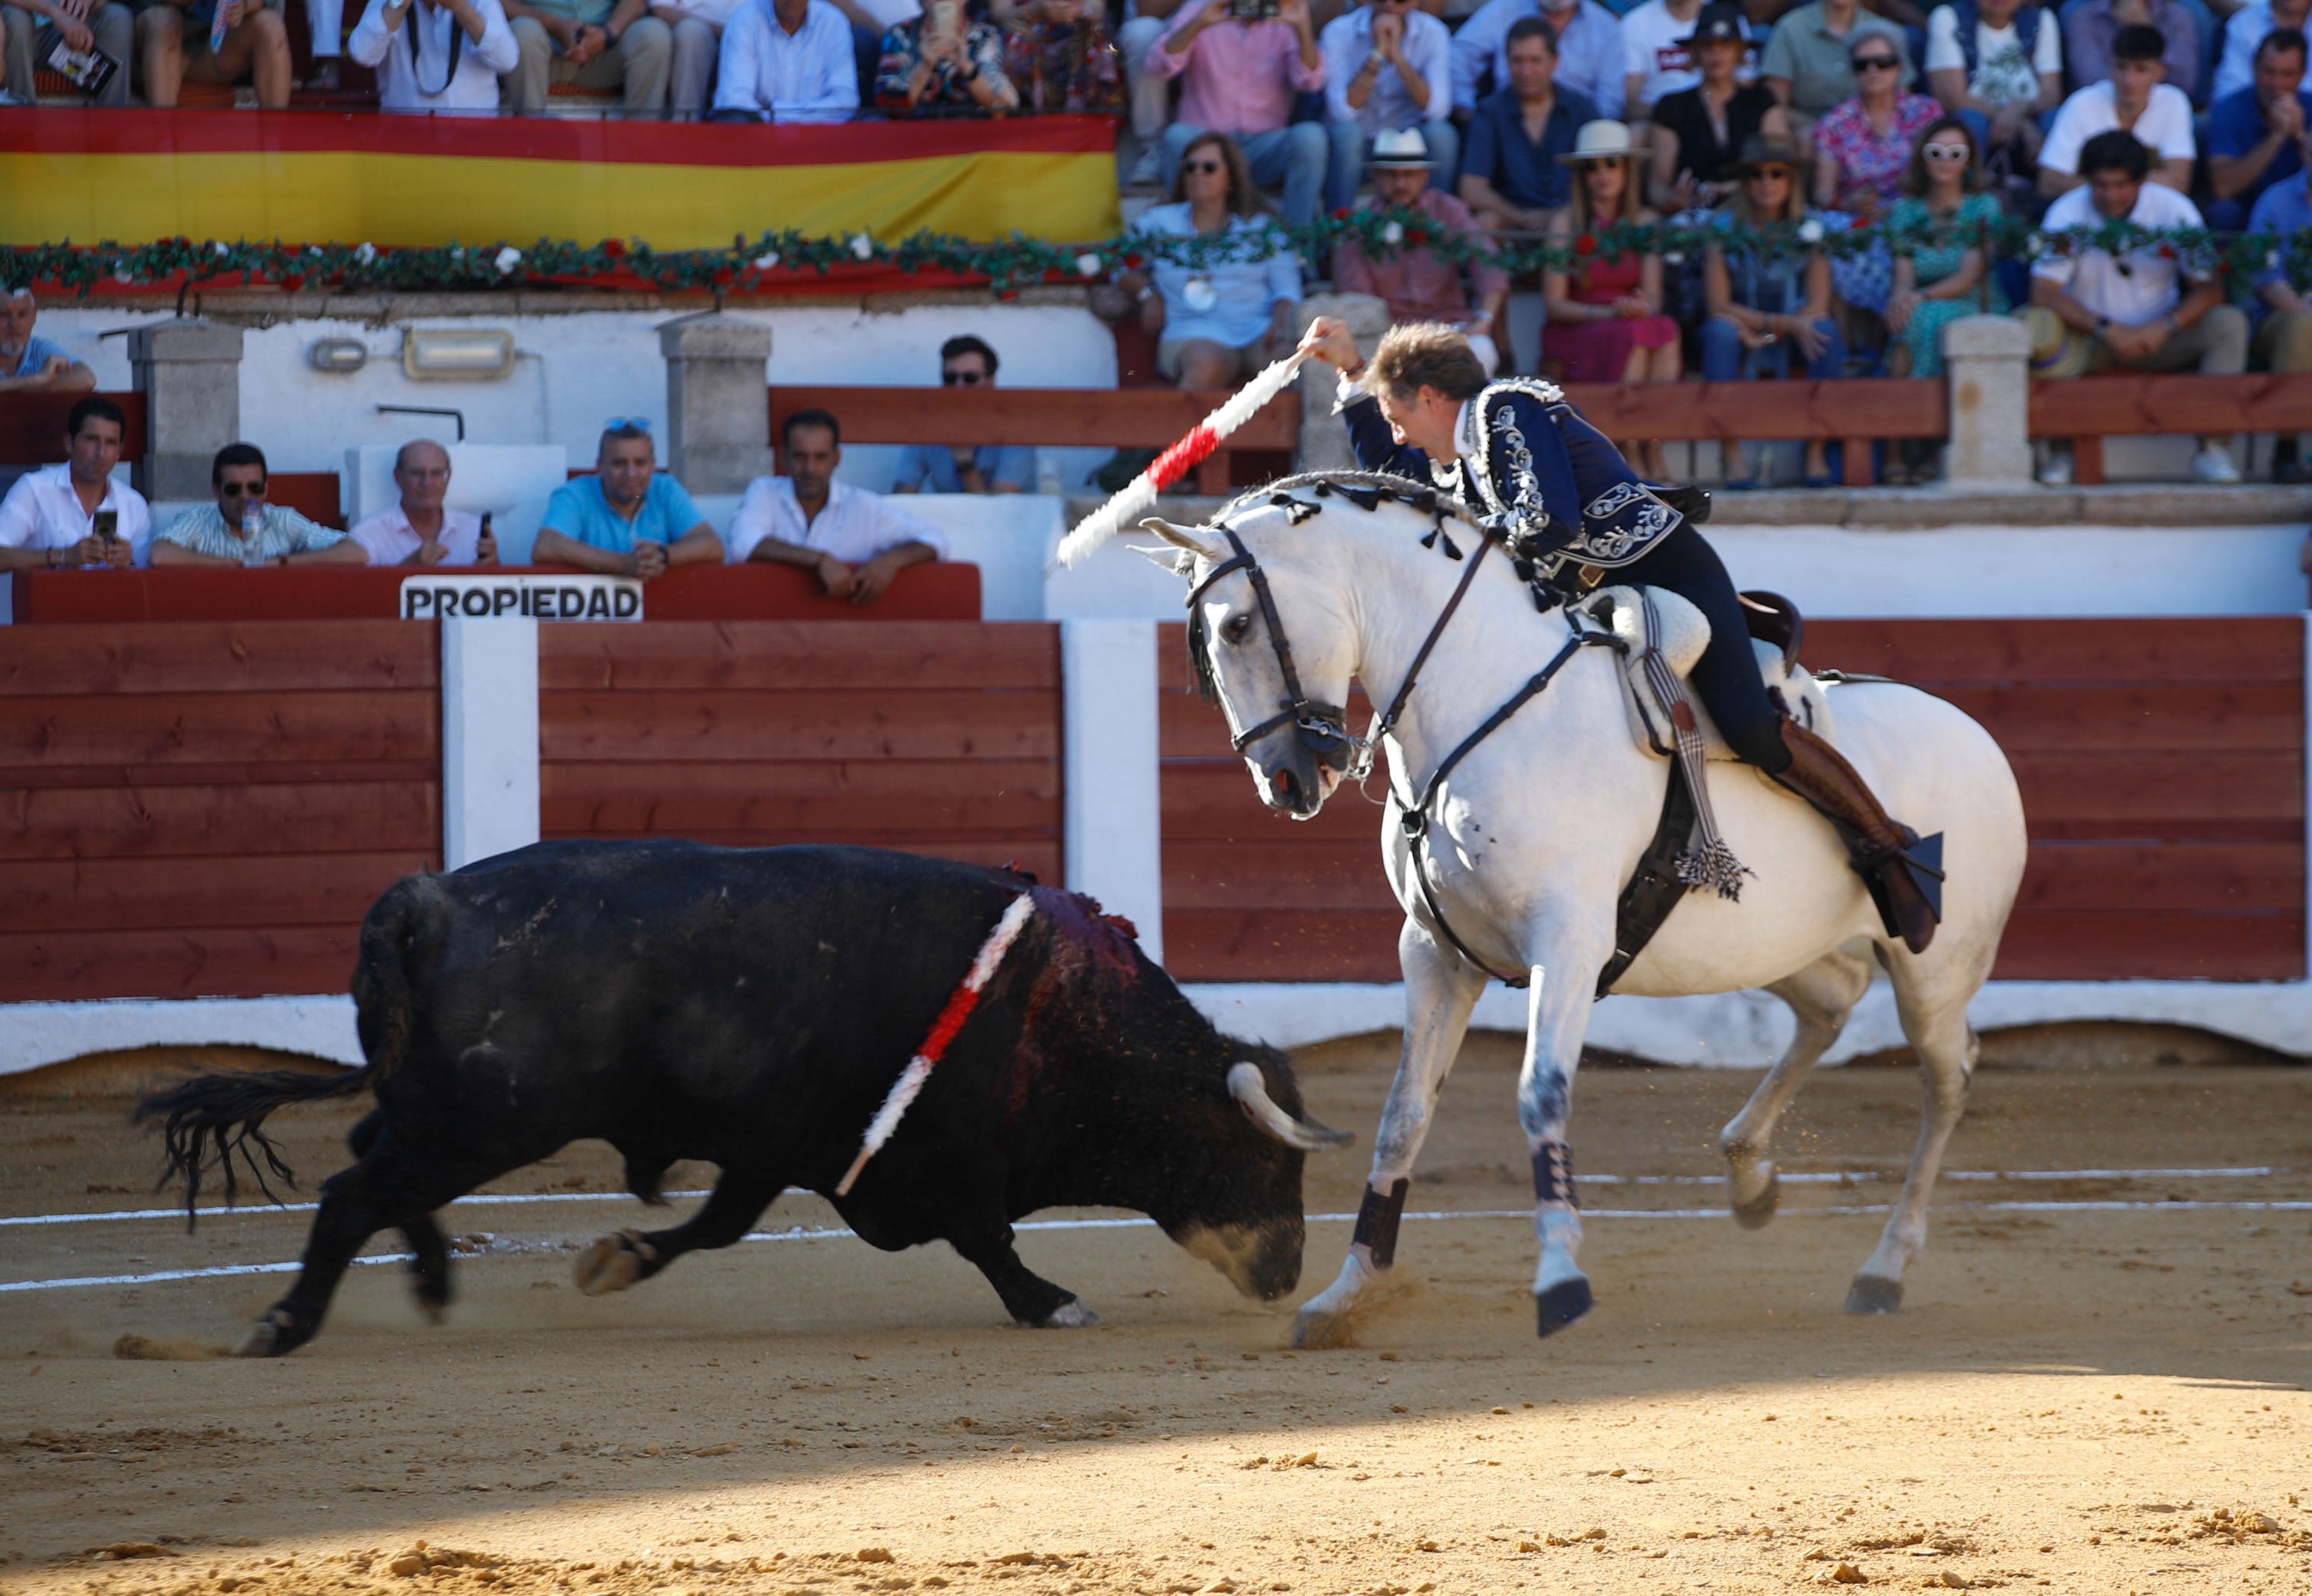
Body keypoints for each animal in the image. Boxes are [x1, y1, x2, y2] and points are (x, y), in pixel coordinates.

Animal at [135, 837, 1350, 1351]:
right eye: (1264, 1157)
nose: (1286, 1271)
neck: (1061, 1018)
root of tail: (424, 901)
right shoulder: (946, 1161)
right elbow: (989, 1241)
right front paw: (1053, 1300)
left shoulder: (780, 1147)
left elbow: (714, 1227)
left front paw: (619, 1257)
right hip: (483, 1120)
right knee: (353, 1189)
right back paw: (284, 1325)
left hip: (446, 1114)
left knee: (370, 1162)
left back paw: (431, 1281)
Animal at [1137, 476, 2025, 1341]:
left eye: (1238, 624)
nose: (1285, 780)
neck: (1485, 703)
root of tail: (1976, 730)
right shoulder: (1433, 950)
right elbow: (1402, 1113)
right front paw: (1347, 1293)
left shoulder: (1564, 944)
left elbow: (1542, 1092)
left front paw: (1561, 1279)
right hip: (1769, 948)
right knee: (1831, 1007)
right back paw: (1751, 1178)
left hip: (1937, 967)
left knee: (1946, 1077)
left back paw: (1884, 1266)